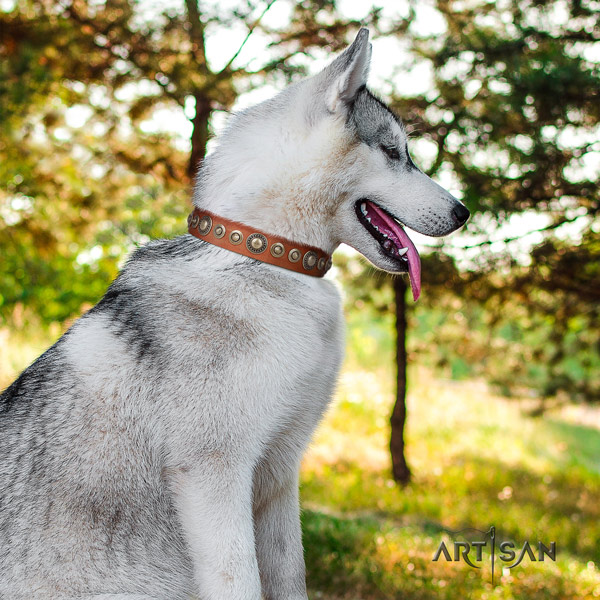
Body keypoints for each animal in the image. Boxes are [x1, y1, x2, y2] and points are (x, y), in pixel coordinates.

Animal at [0, 29, 468, 600]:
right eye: (395, 152)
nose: (463, 212)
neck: (264, 257)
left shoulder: (278, 473)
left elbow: (289, 576)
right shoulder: (215, 475)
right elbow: (239, 579)